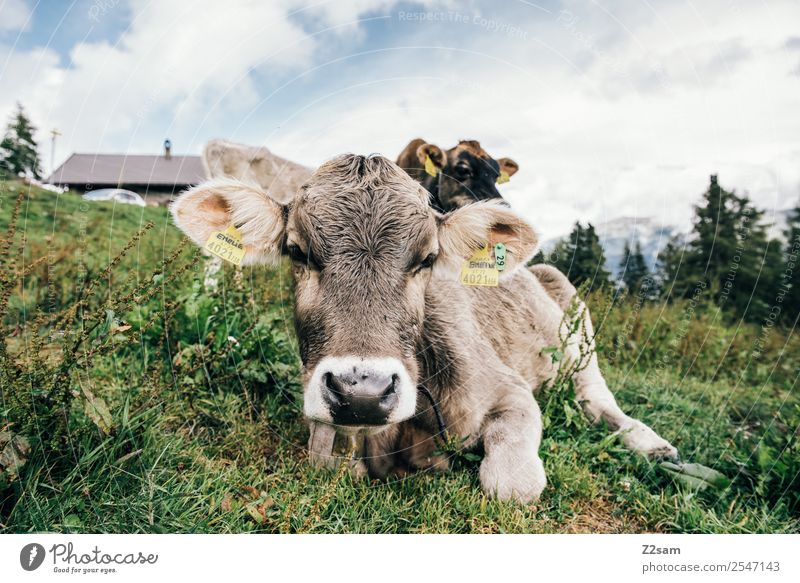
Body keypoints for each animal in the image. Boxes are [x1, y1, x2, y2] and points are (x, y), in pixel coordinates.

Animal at [170, 153, 676, 504]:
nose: (362, 392)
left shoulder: (511, 392)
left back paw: (653, 445)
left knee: (598, 400)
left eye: (428, 258)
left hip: (578, 328)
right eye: (297, 251)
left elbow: (512, 484)